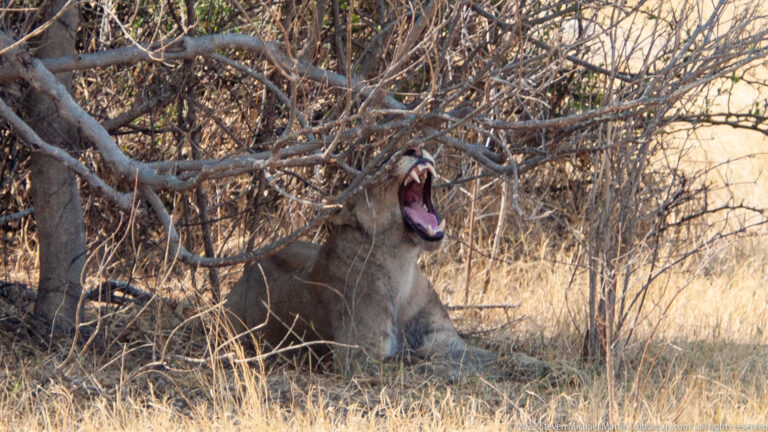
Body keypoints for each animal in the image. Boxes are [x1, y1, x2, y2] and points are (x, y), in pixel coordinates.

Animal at [226, 147, 497, 375]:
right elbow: (420, 362)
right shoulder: (360, 357)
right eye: (380, 164)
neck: (403, 262)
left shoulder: (443, 337)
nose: (416, 148)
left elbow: (487, 355)